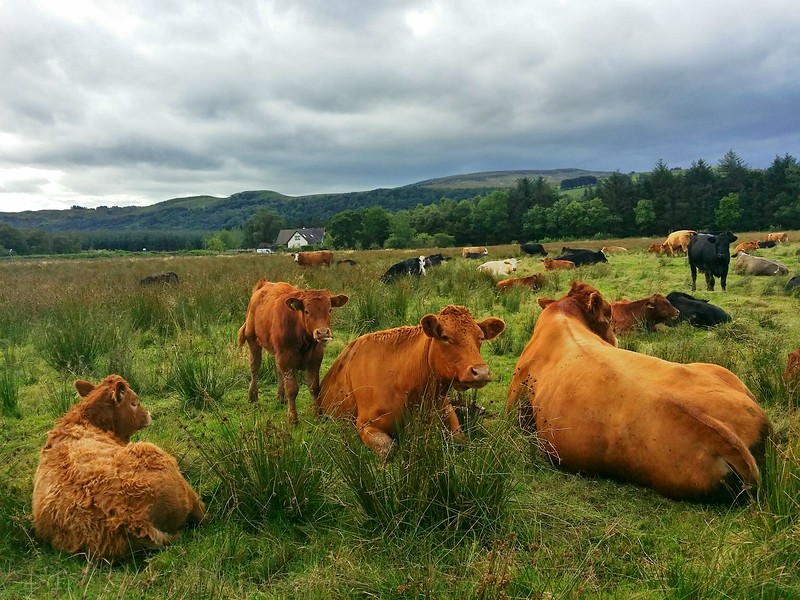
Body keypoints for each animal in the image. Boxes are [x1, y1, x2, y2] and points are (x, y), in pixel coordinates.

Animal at [239, 278, 348, 424]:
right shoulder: (286, 358)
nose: (322, 332)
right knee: (254, 366)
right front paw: (293, 418)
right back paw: (253, 395)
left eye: (330, 309)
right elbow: (292, 389)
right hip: (253, 340)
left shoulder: (315, 359)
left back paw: (281, 397)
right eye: (306, 311)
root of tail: (264, 284)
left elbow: (314, 387)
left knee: (278, 372)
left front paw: (317, 415)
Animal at [318, 304, 506, 460]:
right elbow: (388, 449)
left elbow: (460, 439)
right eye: (446, 337)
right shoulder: (365, 424)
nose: (481, 372)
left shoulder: (445, 408)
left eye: (480, 338)